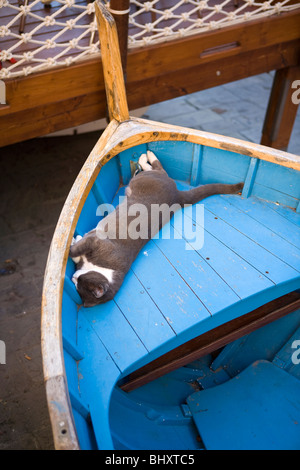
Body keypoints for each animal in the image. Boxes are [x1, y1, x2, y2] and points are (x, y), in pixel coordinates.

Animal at [70, 149, 244, 306]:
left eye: (79, 284)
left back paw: (145, 156)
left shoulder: (96, 242)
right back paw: (146, 156)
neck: (105, 269)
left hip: (145, 179)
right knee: (159, 169)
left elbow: (76, 251)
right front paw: (75, 240)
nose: (73, 277)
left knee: (157, 169)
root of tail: (177, 196)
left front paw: (70, 246)